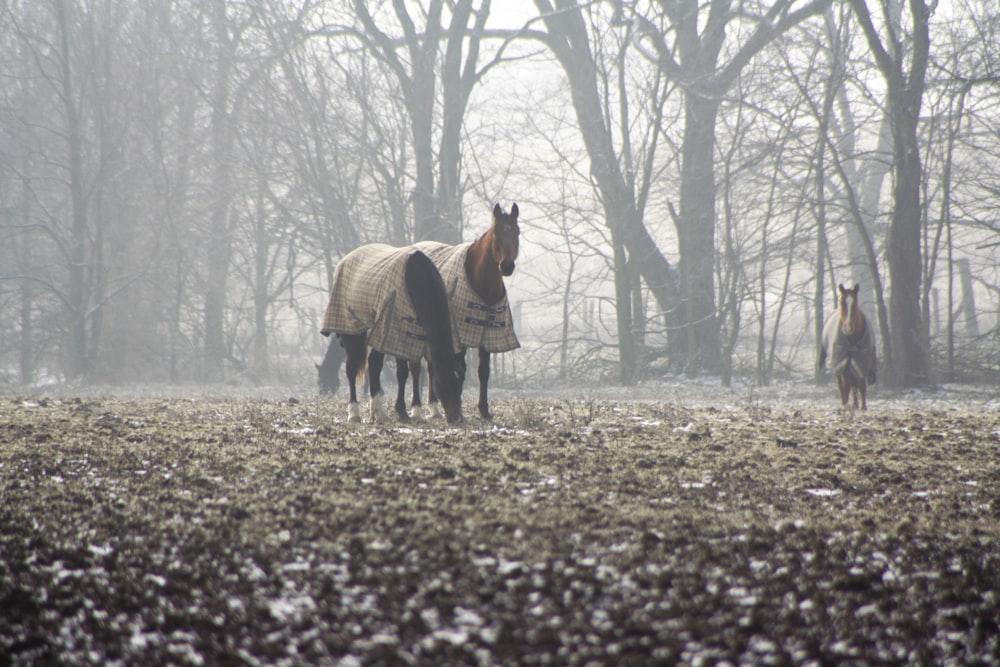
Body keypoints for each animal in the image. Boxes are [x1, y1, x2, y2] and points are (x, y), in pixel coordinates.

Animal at [320, 245, 464, 422]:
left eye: (460, 381)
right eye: (444, 381)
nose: (456, 418)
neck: (416, 279)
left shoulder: (409, 336)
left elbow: (407, 372)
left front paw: (406, 410)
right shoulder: (394, 331)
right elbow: (402, 371)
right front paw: (406, 410)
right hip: (353, 330)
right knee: (353, 368)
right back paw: (356, 412)